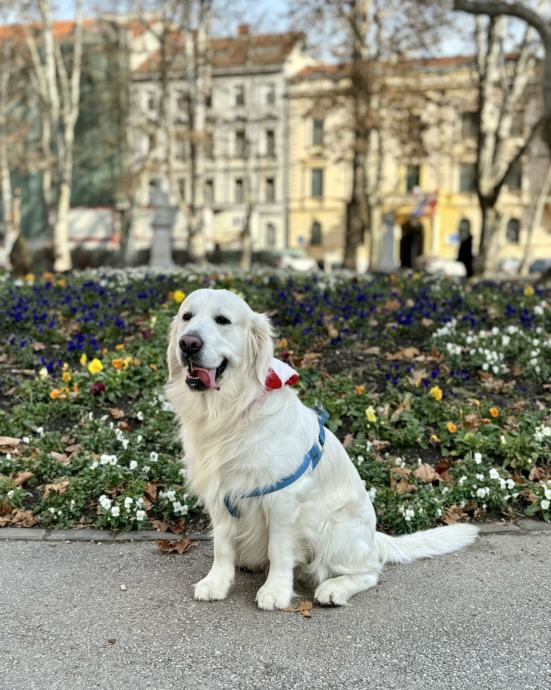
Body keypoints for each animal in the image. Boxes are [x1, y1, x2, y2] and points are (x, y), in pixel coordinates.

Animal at [167, 286, 478, 608]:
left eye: (223, 320)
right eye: (187, 316)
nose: (188, 343)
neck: (230, 411)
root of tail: (374, 537)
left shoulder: (281, 497)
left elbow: (279, 549)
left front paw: (276, 591)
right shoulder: (220, 493)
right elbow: (222, 545)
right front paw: (216, 582)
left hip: (333, 528)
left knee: (370, 571)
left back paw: (334, 589)